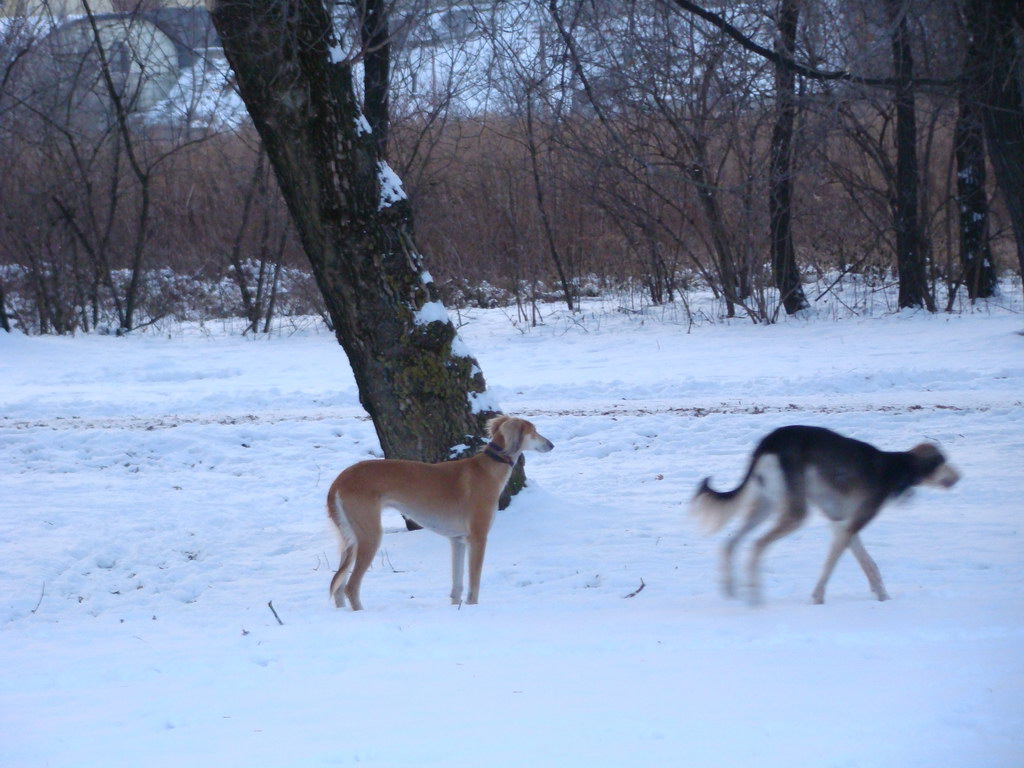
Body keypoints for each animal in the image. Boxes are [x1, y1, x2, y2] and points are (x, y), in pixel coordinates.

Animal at [325, 417, 552, 610]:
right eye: (533, 430)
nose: (551, 445)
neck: (488, 468)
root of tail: (339, 480)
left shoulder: (458, 540)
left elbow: (457, 585)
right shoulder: (478, 538)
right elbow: (474, 583)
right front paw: (473, 608)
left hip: (350, 540)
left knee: (338, 586)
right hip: (370, 536)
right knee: (350, 586)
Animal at [688, 428, 958, 606]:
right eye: (943, 460)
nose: (959, 477)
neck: (895, 467)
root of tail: (769, 440)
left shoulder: (843, 524)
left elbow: (870, 565)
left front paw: (884, 598)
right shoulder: (851, 524)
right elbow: (830, 566)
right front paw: (818, 597)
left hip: (765, 505)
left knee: (730, 543)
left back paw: (730, 591)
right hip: (795, 514)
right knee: (756, 546)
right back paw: (754, 595)